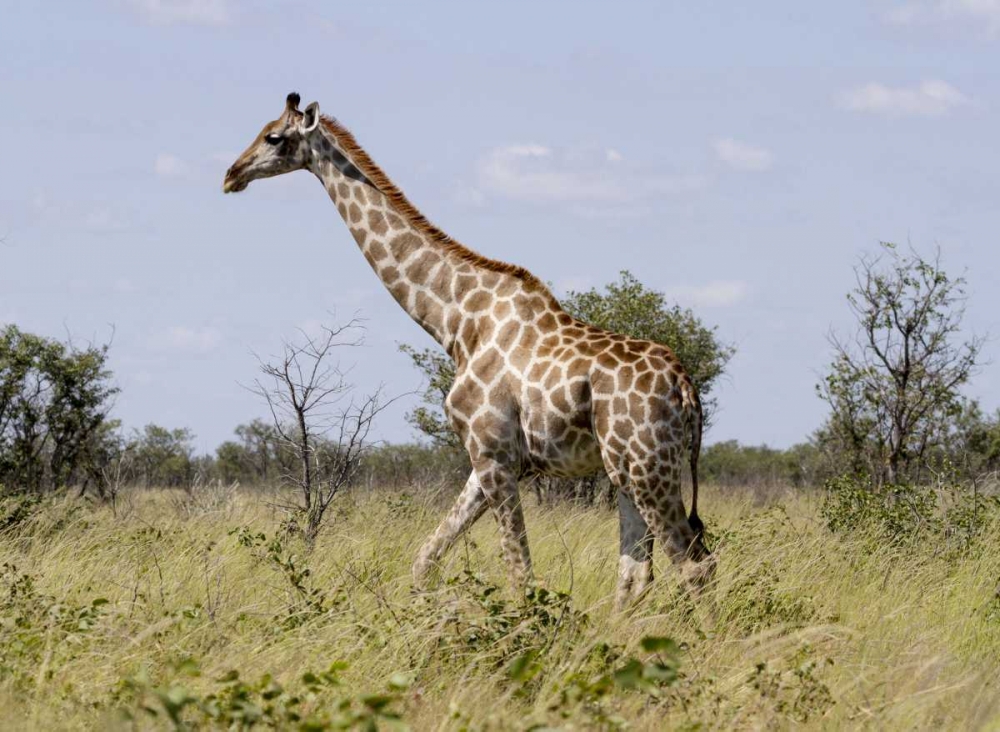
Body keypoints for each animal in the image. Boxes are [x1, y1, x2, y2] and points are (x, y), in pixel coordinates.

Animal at [223, 93, 715, 607]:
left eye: (273, 137)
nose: (231, 174)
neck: (457, 323)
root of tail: (685, 388)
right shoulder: (487, 461)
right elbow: (424, 562)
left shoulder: (494, 454)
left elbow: (519, 575)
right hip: (625, 470)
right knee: (637, 573)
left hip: (647, 465)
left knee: (694, 564)